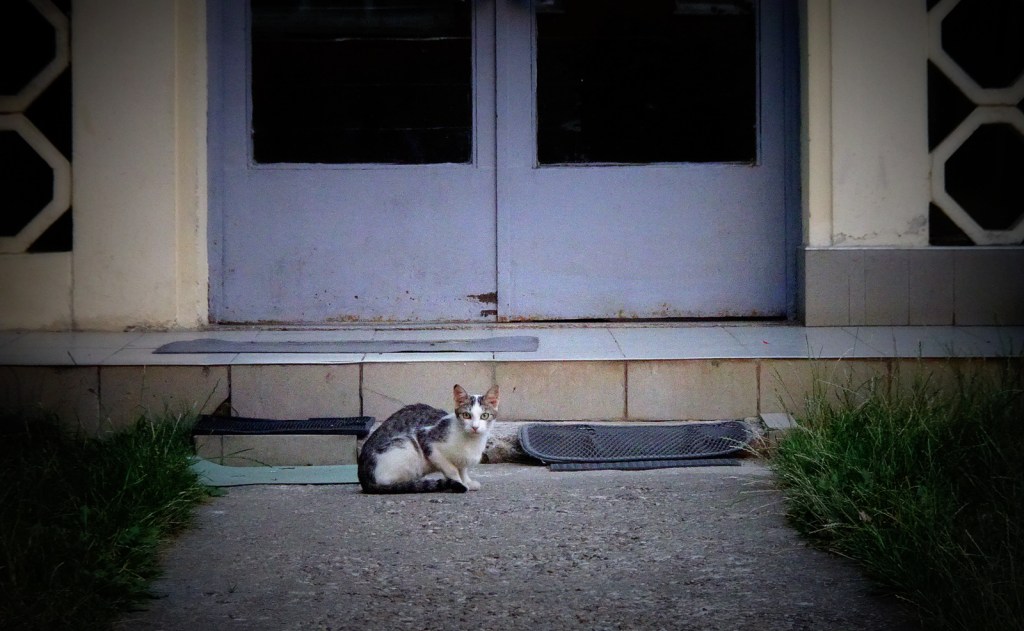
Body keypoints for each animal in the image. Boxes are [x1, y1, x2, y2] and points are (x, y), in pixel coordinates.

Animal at [357, 384, 500, 494]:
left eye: (484, 416)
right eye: (466, 415)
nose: (475, 427)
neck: (471, 442)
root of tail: (363, 477)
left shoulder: (463, 459)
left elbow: (463, 469)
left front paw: (467, 481)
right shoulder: (427, 441)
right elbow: (452, 469)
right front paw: (460, 483)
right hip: (406, 447)